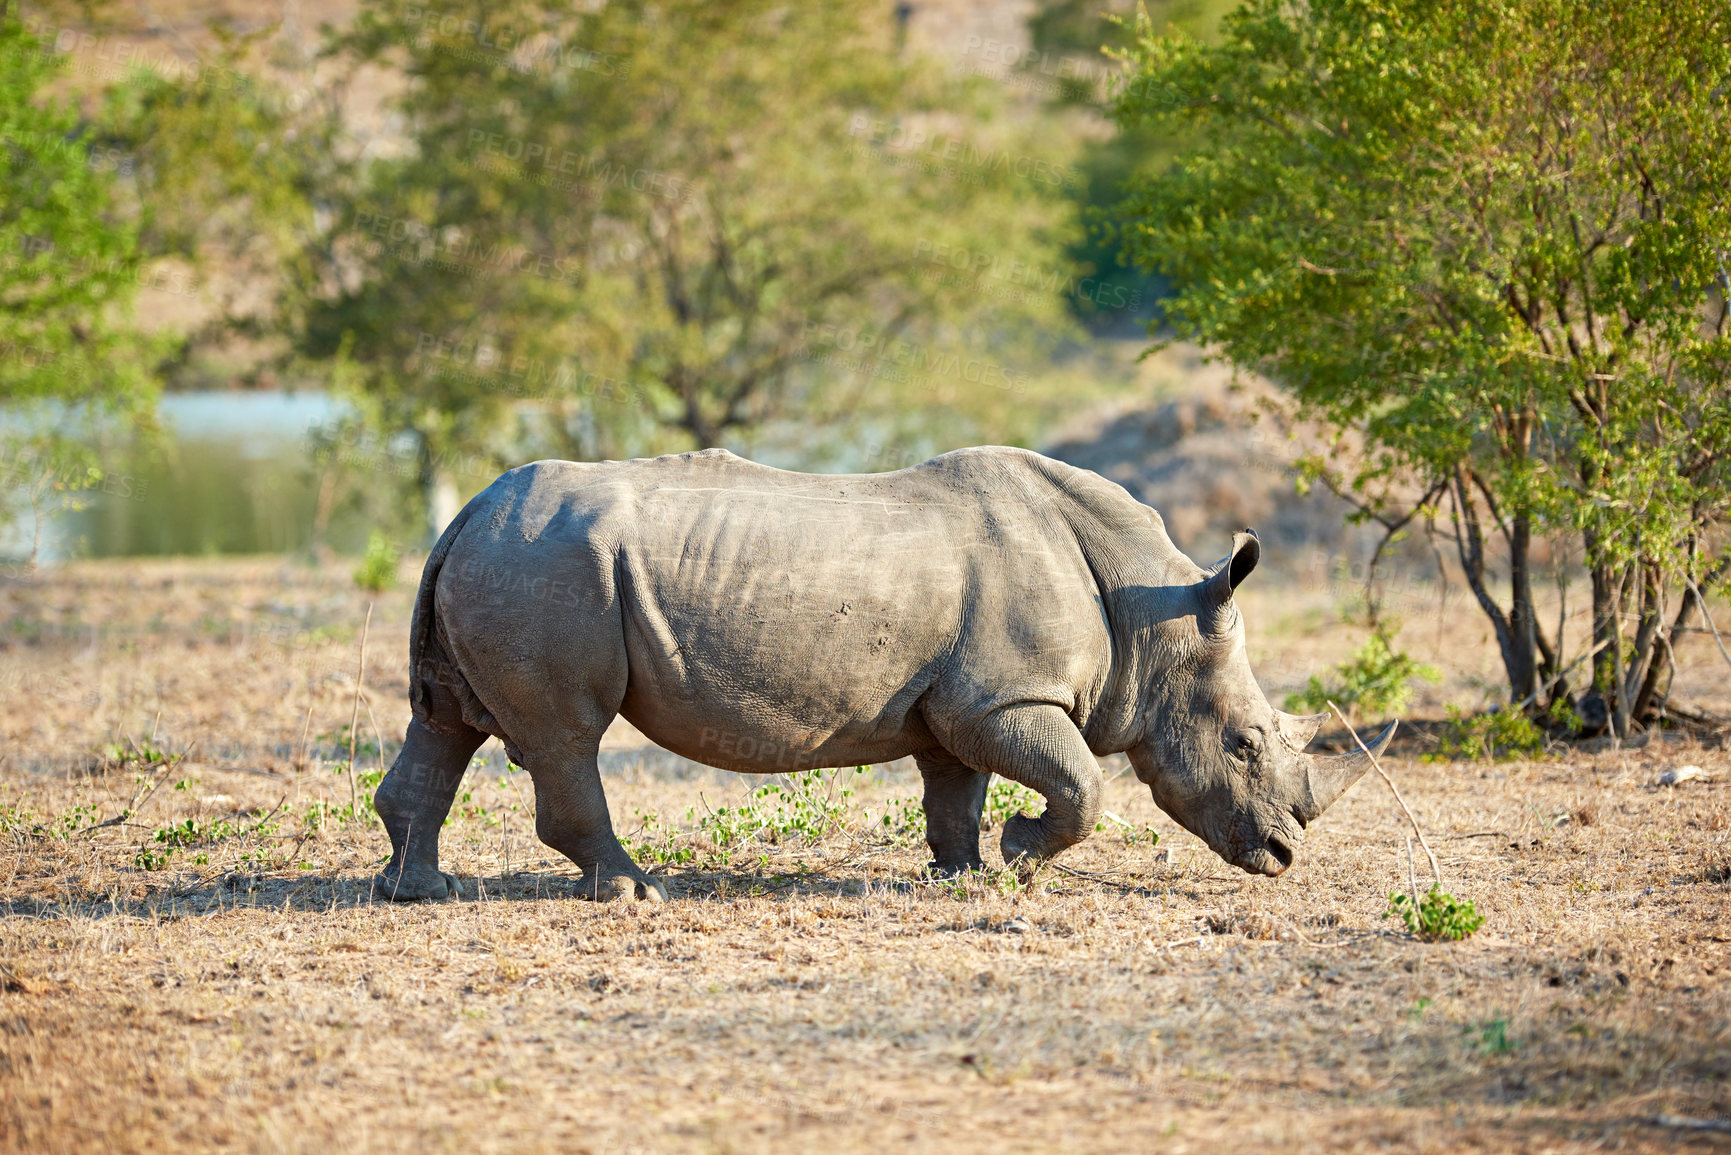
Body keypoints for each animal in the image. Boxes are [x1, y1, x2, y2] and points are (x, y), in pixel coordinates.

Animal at [372, 446, 1384, 900]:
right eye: (1244, 744)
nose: (1282, 855)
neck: (1150, 613)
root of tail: (464, 511)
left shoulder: (960, 701)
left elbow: (954, 791)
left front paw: (960, 872)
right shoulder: (1006, 695)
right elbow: (1082, 784)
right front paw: (1018, 857)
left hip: (508, 557)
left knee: (447, 722)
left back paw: (419, 891)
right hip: (546, 567)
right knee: (566, 736)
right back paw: (631, 889)